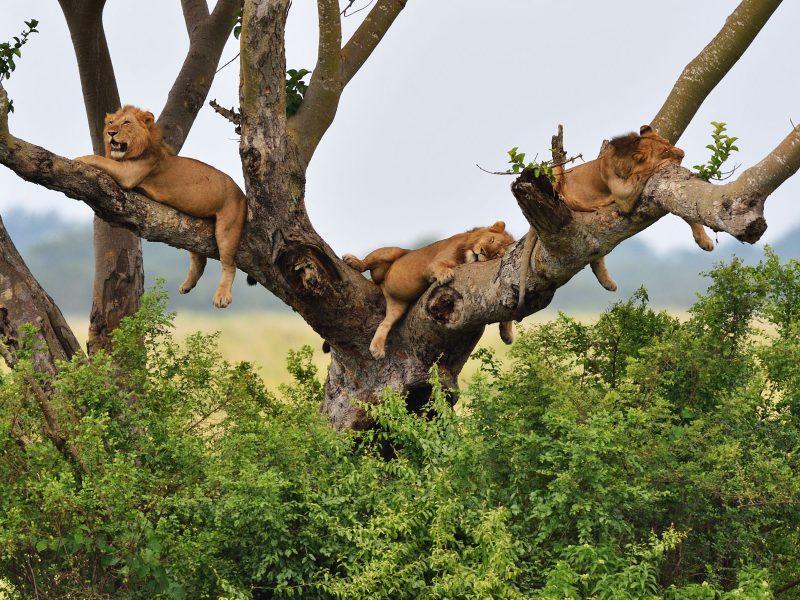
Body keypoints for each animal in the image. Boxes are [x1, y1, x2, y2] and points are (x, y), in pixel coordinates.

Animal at [76, 105, 247, 308]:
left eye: (126, 122)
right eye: (111, 122)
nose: (111, 133)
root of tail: (242, 193)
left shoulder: (129, 173)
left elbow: (101, 159)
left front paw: (79, 157)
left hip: (228, 228)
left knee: (229, 264)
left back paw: (221, 296)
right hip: (196, 228)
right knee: (199, 259)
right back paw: (187, 285)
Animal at [343, 221, 515, 359]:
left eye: (496, 254)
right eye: (491, 239)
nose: (483, 252)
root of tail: (383, 285)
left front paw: (507, 333)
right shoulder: (432, 265)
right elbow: (439, 267)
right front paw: (445, 274)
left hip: (398, 306)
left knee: (385, 323)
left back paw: (377, 349)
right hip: (392, 252)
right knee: (367, 262)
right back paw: (353, 261)